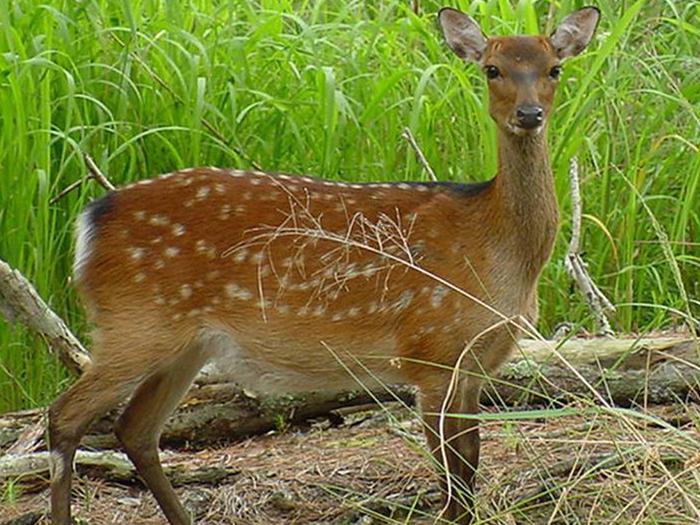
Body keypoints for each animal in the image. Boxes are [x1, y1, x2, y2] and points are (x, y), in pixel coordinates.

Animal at [48, 6, 600, 525]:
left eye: (554, 68)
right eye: (491, 69)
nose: (529, 114)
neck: (497, 250)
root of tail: (89, 222)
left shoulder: (476, 364)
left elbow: (469, 465)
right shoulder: (431, 350)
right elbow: (454, 478)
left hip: (186, 342)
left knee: (135, 428)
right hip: (135, 323)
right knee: (65, 415)